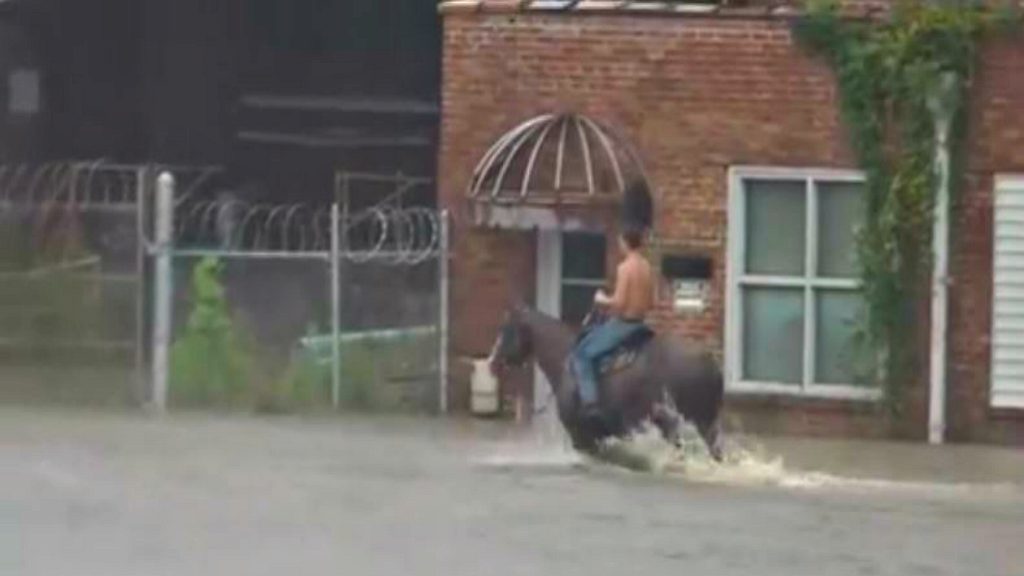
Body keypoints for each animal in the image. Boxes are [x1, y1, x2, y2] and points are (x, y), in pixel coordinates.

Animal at [487, 305, 720, 457]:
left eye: (505, 330)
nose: (492, 363)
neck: (564, 357)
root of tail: (707, 361)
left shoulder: (581, 435)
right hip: (704, 422)